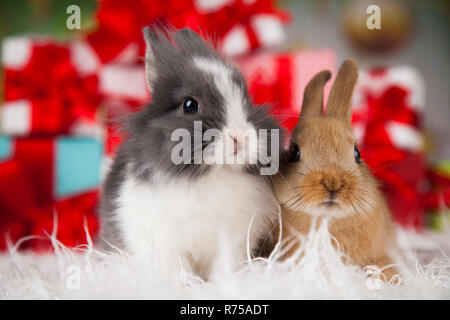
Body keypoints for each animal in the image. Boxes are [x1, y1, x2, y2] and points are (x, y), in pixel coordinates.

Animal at [101, 26, 284, 278]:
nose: (240, 136)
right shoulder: (167, 244)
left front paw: (226, 284)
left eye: (247, 98)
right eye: (190, 105)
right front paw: (184, 285)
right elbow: (178, 272)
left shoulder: (232, 242)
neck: (213, 175)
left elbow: (224, 269)